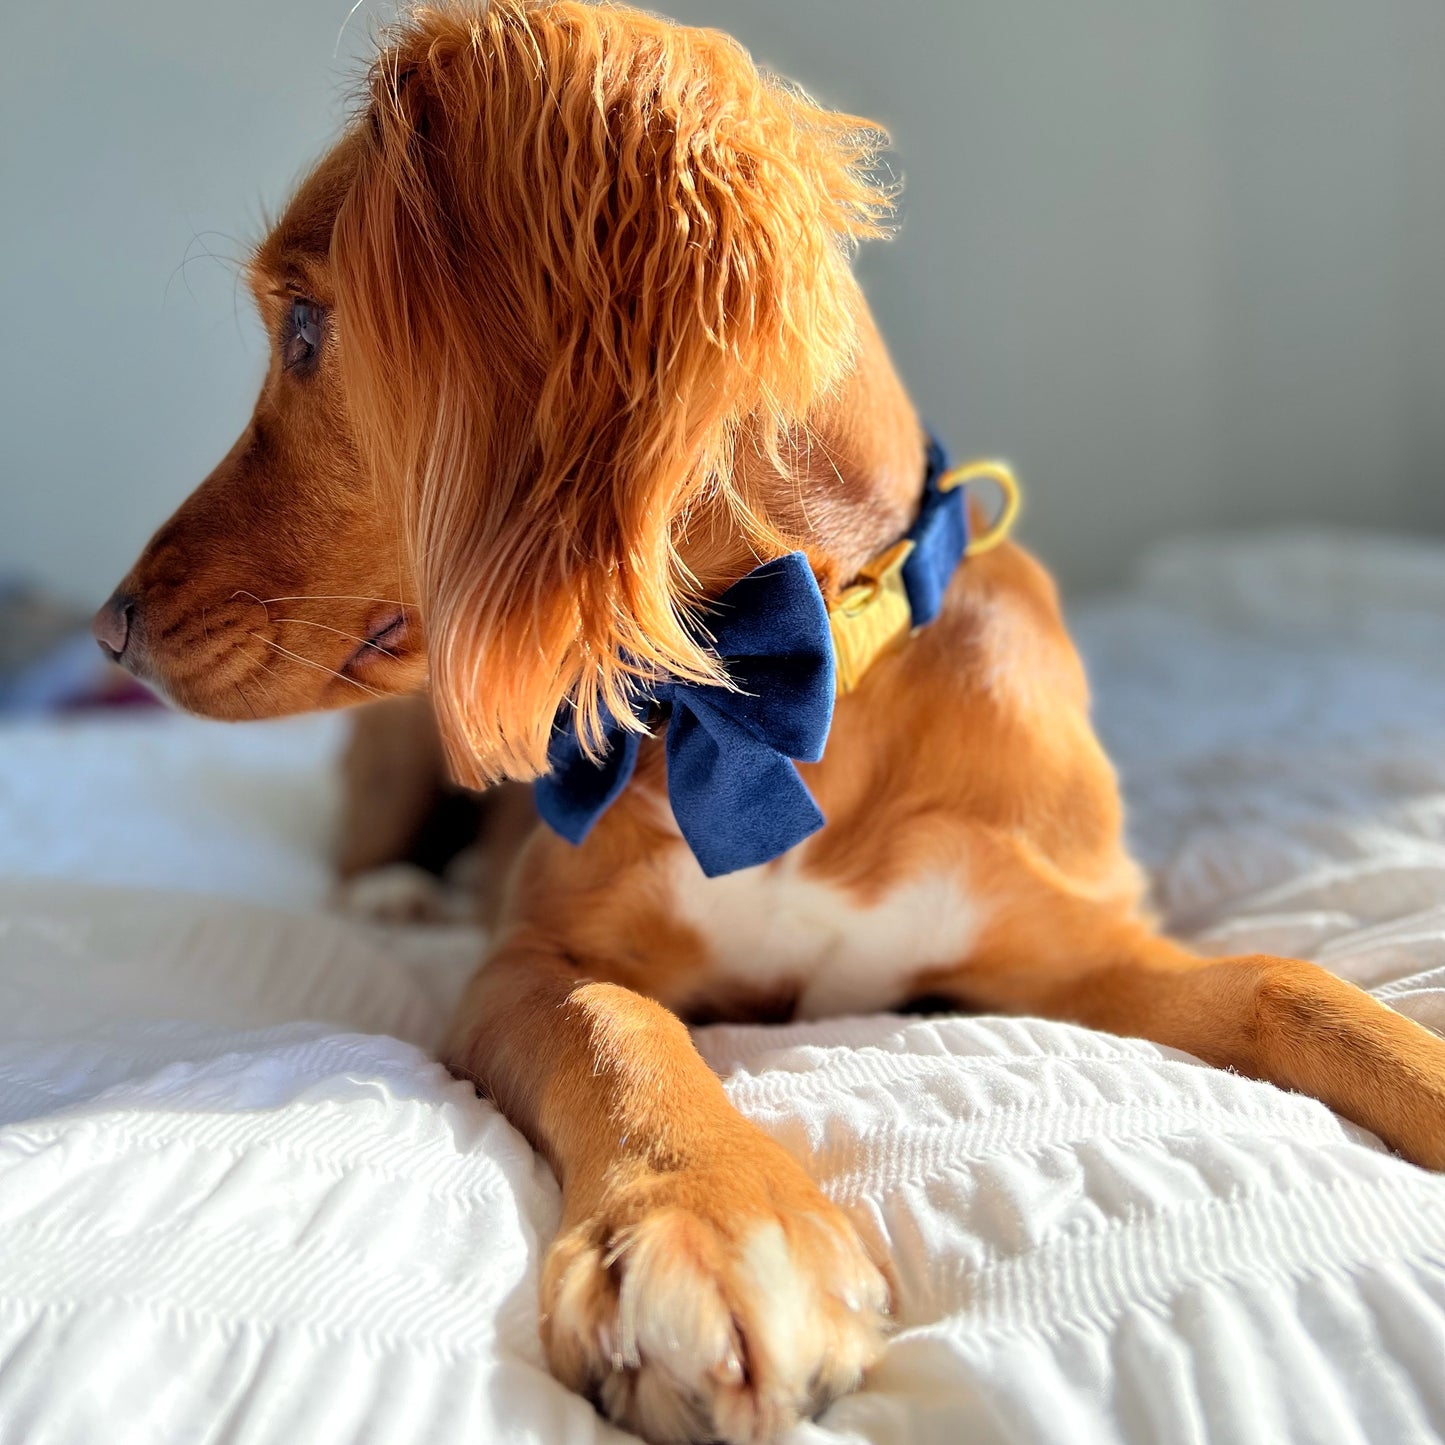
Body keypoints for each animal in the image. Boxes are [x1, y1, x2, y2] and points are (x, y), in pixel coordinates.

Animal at [93, 5, 1445, 1439]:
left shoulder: (1069, 941)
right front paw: (713, 1220)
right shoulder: (528, 957)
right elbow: (619, 1027)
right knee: (369, 842)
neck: (777, 706)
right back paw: (397, 892)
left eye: (305, 327)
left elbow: (1296, 989)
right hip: (411, 741)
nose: (109, 628)